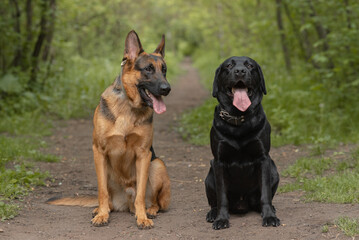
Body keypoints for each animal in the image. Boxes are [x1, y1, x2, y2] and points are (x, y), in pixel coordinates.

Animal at [47, 30, 172, 229]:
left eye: (164, 70)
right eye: (148, 69)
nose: (167, 89)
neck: (128, 106)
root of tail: (125, 203)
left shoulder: (144, 154)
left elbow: (141, 193)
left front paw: (142, 217)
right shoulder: (99, 151)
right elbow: (102, 191)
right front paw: (102, 215)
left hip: (157, 164)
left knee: (155, 201)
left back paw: (149, 210)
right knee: (109, 198)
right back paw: (101, 209)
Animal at [205, 55, 282, 230]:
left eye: (250, 65)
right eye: (228, 66)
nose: (240, 71)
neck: (238, 119)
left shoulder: (264, 158)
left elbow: (265, 194)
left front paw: (269, 216)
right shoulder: (219, 161)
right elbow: (222, 197)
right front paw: (221, 219)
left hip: (274, 171)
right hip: (209, 176)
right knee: (214, 202)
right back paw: (213, 214)